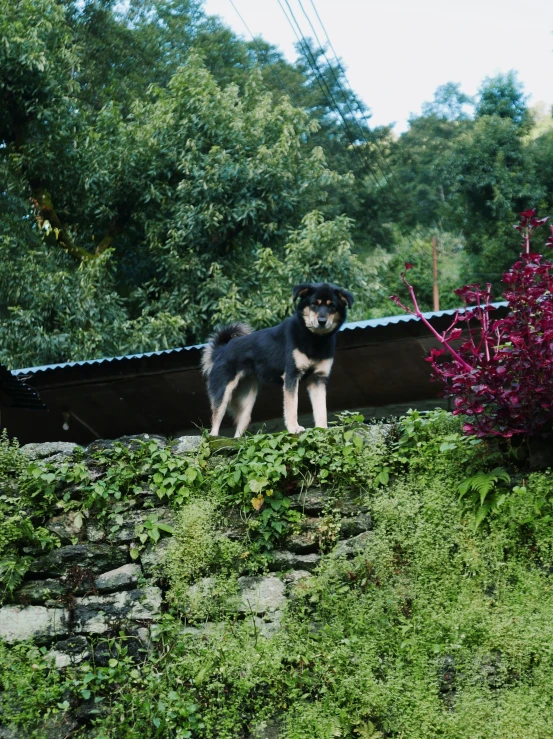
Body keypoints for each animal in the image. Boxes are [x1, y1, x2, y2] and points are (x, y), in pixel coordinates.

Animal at [201, 280, 352, 436]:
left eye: (332, 306)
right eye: (314, 304)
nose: (322, 321)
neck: (315, 339)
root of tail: (221, 350)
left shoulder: (318, 378)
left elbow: (321, 409)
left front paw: (322, 429)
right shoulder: (291, 375)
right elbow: (292, 406)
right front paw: (294, 428)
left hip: (246, 402)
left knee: (240, 427)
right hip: (223, 393)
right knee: (214, 424)